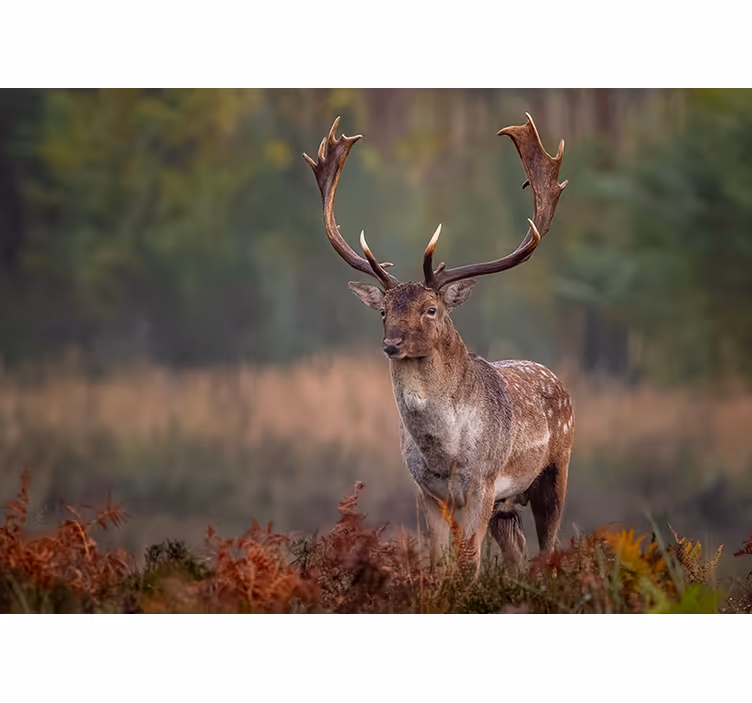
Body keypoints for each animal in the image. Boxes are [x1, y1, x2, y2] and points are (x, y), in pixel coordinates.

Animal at [304, 113, 573, 575]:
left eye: (431, 309)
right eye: (383, 310)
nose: (392, 343)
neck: (445, 454)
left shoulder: (484, 480)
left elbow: (467, 560)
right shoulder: (426, 489)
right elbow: (435, 558)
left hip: (555, 470)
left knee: (547, 549)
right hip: (507, 503)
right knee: (516, 547)